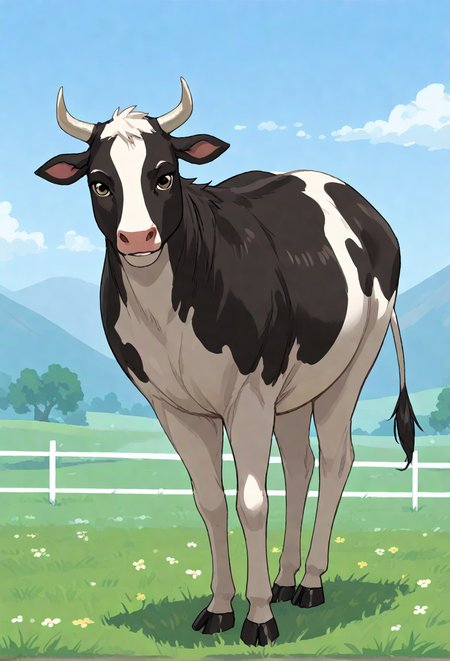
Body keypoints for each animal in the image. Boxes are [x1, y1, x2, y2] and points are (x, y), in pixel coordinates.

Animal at [36, 78, 420, 647]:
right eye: (100, 182)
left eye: (164, 174)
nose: (137, 238)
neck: (168, 312)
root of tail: (356, 200)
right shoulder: (171, 405)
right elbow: (211, 501)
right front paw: (219, 608)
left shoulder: (251, 393)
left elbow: (251, 501)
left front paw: (258, 617)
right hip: (293, 386)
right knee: (301, 464)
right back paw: (285, 580)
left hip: (352, 362)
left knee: (335, 460)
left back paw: (309, 583)